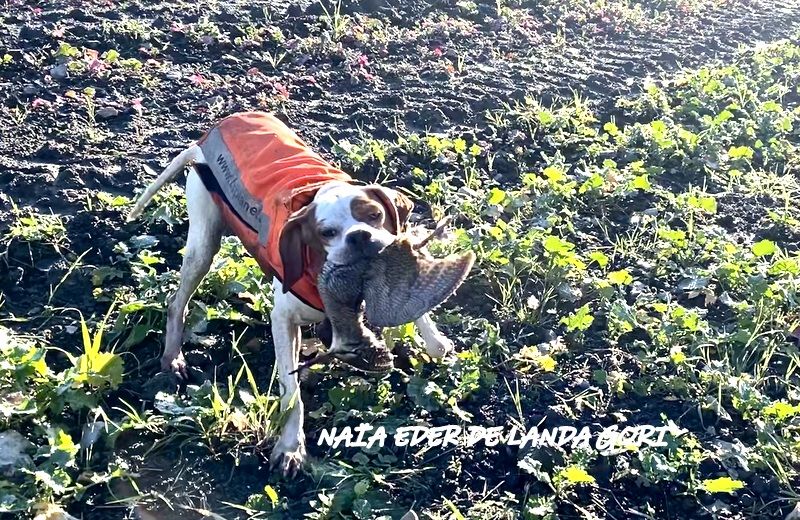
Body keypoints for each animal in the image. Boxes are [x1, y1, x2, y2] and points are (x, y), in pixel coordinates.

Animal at [126, 112, 456, 476]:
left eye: (375, 215)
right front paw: (290, 448)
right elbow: (291, 391)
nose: (359, 236)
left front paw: (436, 344)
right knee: (176, 303)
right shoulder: (283, 320)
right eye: (327, 232)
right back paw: (173, 356)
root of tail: (207, 137)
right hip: (203, 245)